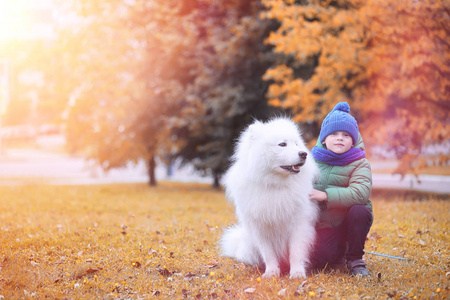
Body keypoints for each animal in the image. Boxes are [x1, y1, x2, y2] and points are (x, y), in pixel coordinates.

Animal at [221, 117, 320, 278]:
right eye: (282, 144)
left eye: (296, 143)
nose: (303, 154)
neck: (275, 184)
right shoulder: (260, 228)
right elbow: (268, 254)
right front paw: (271, 273)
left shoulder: (299, 225)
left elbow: (296, 252)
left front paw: (297, 273)